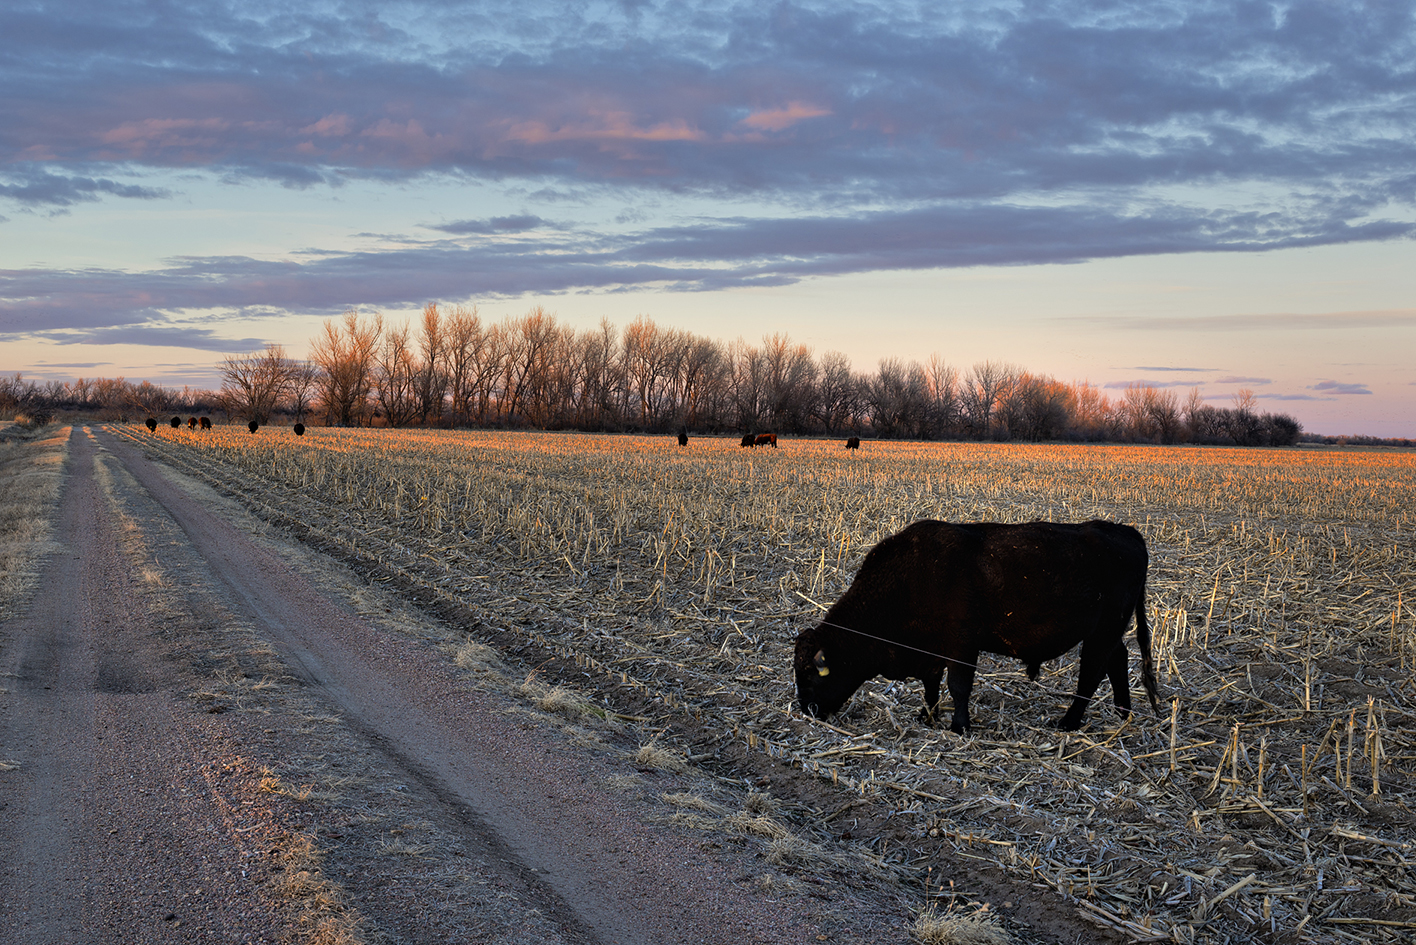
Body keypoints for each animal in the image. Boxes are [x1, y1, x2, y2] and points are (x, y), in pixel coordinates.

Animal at [798, 521, 1161, 736]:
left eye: (813, 674)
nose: (806, 710)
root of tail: (1125, 531)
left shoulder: (961, 645)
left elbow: (958, 687)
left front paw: (959, 726)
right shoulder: (931, 650)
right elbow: (931, 686)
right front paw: (927, 717)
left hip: (1102, 632)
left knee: (1091, 673)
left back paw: (1069, 722)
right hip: (1106, 633)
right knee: (1117, 661)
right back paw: (1122, 713)